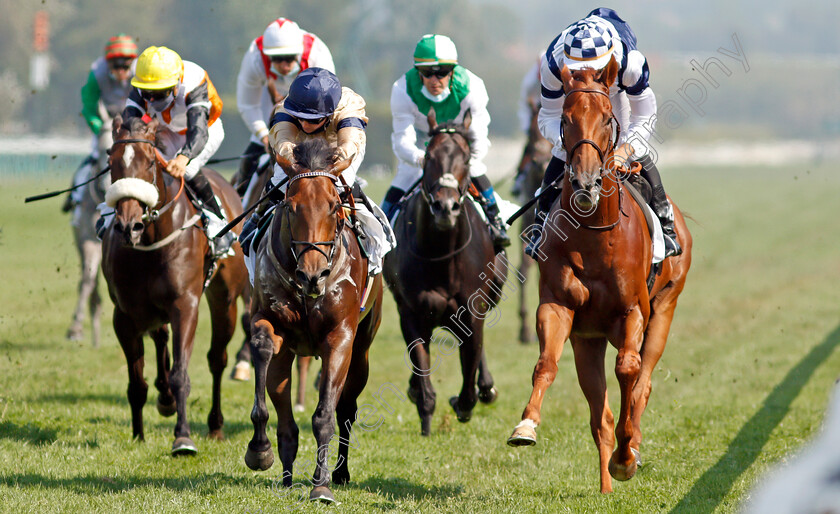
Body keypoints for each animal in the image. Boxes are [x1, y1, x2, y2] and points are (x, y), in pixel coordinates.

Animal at [100, 115, 248, 452]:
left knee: (216, 359)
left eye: (150, 162)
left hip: (225, 299)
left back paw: (215, 425)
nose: (128, 226)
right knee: (161, 338)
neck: (149, 244)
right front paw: (138, 435)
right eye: (111, 161)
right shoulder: (124, 315)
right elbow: (136, 383)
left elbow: (181, 373)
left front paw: (183, 438)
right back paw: (165, 397)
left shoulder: (185, 306)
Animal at [243, 136, 384, 500]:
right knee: (288, 420)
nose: (312, 275)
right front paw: (259, 449)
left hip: (363, 347)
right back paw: (286, 477)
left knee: (346, 408)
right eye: (291, 207)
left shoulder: (340, 338)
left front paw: (321, 485)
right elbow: (262, 348)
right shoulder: (270, 322)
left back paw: (340, 472)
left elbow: (325, 416)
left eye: (334, 206)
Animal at [382, 110, 506, 434]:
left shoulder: (471, 312)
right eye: (428, 156)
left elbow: (470, 366)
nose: (445, 207)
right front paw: (426, 415)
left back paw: (486, 387)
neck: (441, 257)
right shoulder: (411, 313)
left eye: (466, 158)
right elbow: (421, 366)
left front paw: (463, 403)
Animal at [506, 61, 696, 492]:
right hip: (588, 343)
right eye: (564, 120)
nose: (585, 183)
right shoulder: (559, 307)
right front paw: (526, 426)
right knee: (601, 417)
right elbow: (546, 364)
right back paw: (606, 483)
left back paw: (629, 452)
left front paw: (626, 457)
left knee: (641, 382)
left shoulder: (634, 312)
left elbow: (628, 370)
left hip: (665, 309)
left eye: (608, 118)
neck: (594, 233)